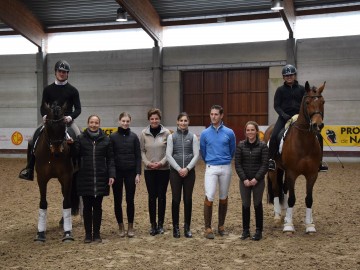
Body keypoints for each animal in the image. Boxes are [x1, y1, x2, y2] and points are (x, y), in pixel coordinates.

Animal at [33, 102, 76, 242]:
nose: (57, 150)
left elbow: (66, 202)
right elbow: (43, 203)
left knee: (68, 197)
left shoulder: (67, 177)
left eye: (63, 125)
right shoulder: (41, 178)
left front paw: (67, 233)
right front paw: (40, 233)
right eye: (49, 126)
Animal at [264, 80, 326, 234]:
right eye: (308, 102)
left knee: (284, 188)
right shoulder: (292, 173)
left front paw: (309, 225)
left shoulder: (312, 174)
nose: (317, 125)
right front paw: (288, 226)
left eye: (322, 102)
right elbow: (292, 198)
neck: (304, 141)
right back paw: (278, 216)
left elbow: (309, 199)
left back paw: (286, 214)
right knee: (276, 189)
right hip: (274, 170)